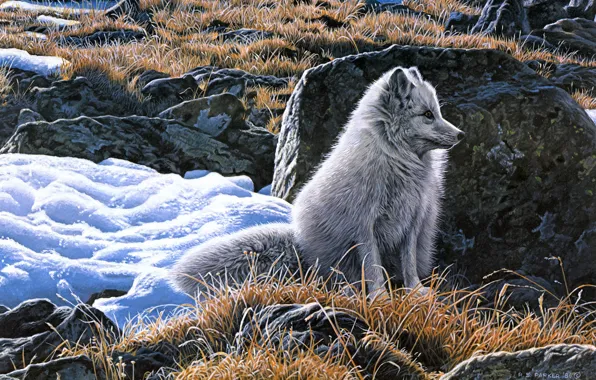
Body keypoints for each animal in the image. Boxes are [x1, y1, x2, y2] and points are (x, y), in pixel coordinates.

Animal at [170, 67, 464, 296]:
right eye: (427, 115)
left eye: (436, 112)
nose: (461, 135)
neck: (398, 163)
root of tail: (299, 243)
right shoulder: (364, 225)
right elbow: (373, 269)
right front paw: (380, 298)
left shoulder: (412, 221)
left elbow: (409, 263)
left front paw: (415, 292)